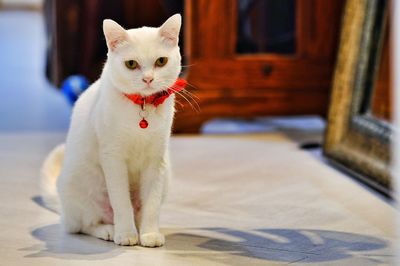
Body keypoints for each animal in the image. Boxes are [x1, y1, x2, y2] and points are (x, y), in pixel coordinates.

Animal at [39, 14, 184, 247]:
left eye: (161, 61)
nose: (148, 79)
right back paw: (109, 229)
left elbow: (151, 205)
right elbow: (121, 202)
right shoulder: (113, 158)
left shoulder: (156, 161)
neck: (141, 108)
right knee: (83, 226)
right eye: (131, 64)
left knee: (137, 213)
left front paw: (149, 233)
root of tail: (64, 211)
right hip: (78, 186)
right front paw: (125, 234)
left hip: (166, 177)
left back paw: (139, 228)